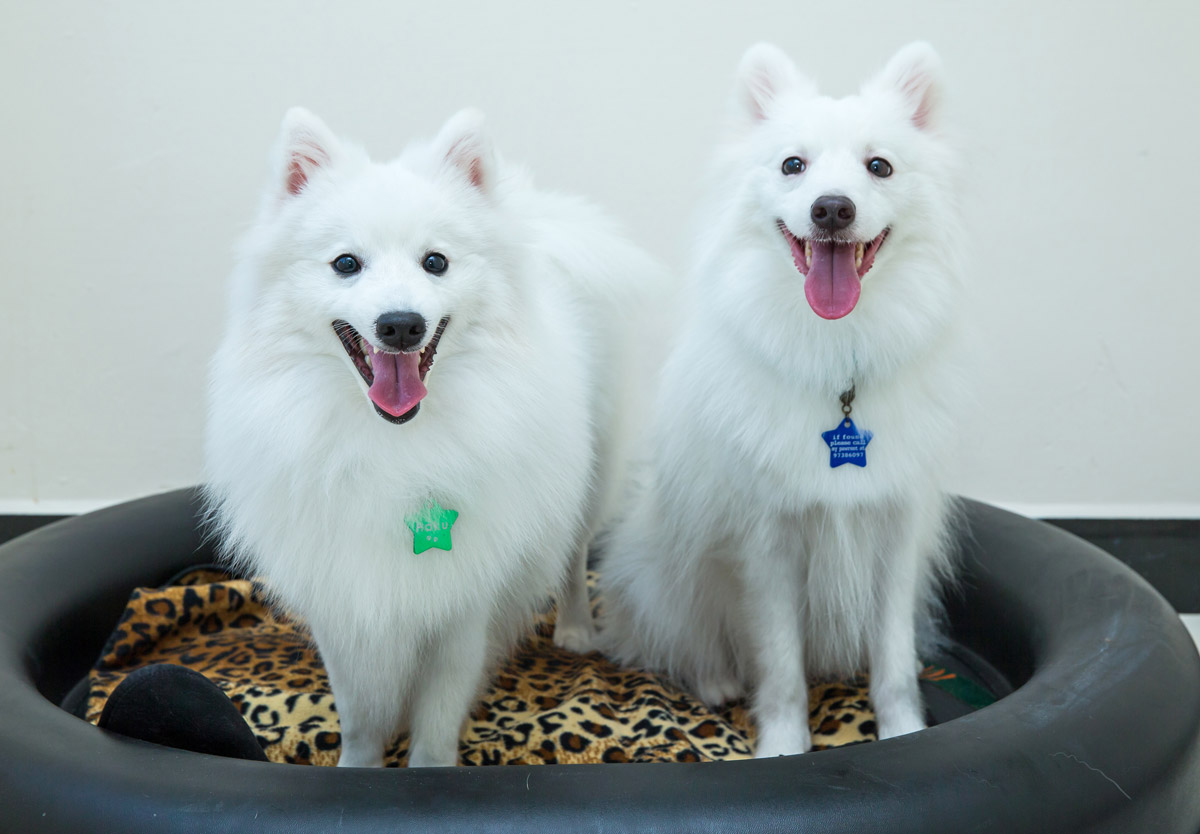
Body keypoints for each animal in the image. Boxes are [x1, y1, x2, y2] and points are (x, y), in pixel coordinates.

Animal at [202, 107, 662, 768]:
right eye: (346, 264)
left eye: (436, 262)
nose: (401, 324)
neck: (393, 439)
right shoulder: (344, 597)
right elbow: (361, 717)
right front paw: (356, 769)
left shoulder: (461, 606)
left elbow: (438, 718)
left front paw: (429, 770)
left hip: (591, 474)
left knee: (574, 556)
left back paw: (576, 629)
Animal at [600, 42, 964, 758]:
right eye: (793, 165)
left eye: (879, 166)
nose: (831, 209)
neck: (838, 356)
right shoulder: (767, 544)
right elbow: (781, 666)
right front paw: (783, 748)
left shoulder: (896, 533)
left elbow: (892, 661)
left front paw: (904, 734)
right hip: (667, 572)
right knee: (683, 642)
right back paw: (715, 682)